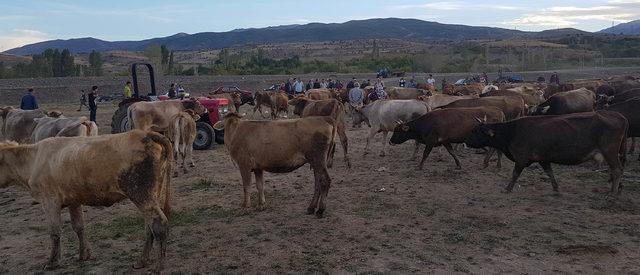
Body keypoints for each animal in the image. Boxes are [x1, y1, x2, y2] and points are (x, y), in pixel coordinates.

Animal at [0, 132, 172, 274]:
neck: (33, 160)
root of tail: (146, 134)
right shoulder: (74, 201)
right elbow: (78, 227)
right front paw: (84, 254)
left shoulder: (50, 202)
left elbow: (55, 232)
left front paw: (52, 262)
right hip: (152, 194)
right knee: (149, 226)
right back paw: (142, 261)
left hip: (141, 194)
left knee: (159, 223)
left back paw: (158, 267)